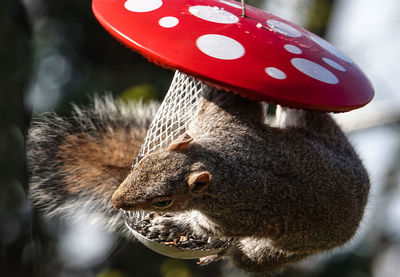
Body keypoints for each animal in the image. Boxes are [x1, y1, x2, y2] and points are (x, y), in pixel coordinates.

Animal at [28, 89, 372, 270]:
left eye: (163, 201)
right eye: (145, 162)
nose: (115, 201)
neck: (219, 162)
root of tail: (360, 209)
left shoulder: (235, 214)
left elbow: (207, 227)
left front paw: (171, 225)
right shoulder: (223, 124)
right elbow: (229, 102)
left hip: (283, 248)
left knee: (248, 257)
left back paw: (219, 254)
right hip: (319, 131)